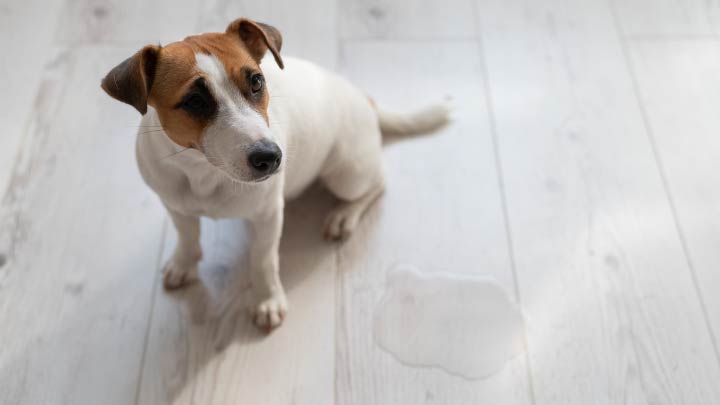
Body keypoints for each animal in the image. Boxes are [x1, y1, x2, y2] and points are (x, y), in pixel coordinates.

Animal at [101, 17, 450, 330]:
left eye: (256, 81)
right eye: (194, 101)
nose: (270, 157)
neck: (205, 172)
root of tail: (363, 98)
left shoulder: (269, 215)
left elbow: (263, 259)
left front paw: (267, 301)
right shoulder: (174, 204)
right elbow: (187, 235)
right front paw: (184, 262)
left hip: (346, 175)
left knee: (377, 184)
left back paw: (344, 216)